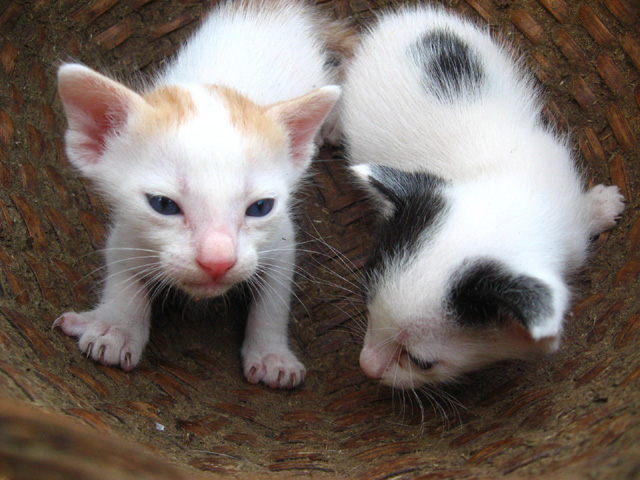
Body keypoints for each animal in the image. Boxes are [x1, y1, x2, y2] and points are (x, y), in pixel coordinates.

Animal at [53, 0, 350, 390]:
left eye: (260, 207)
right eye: (163, 204)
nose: (218, 261)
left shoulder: (282, 240)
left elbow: (274, 298)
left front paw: (271, 355)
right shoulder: (126, 229)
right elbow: (123, 273)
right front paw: (116, 328)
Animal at [340, 6, 624, 390]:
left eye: (422, 362)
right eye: (366, 305)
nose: (367, 367)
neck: (507, 196)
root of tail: (399, 18)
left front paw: (600, 207)